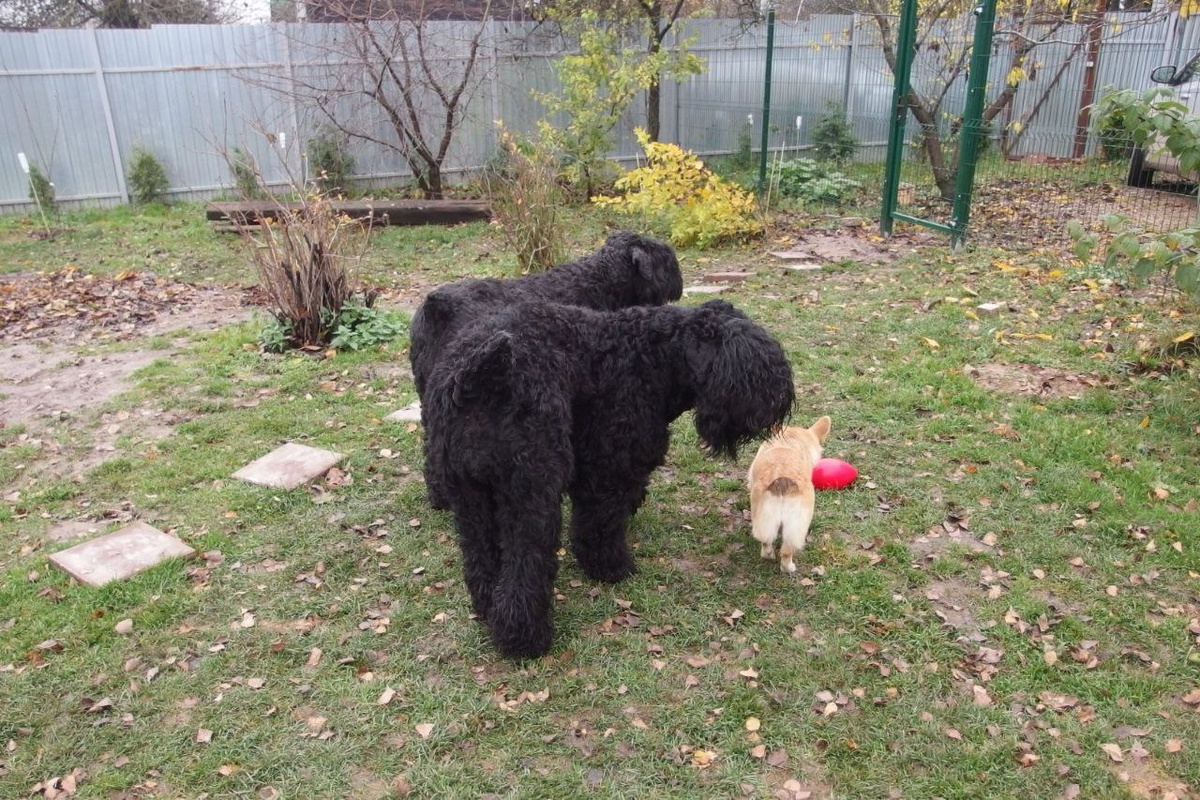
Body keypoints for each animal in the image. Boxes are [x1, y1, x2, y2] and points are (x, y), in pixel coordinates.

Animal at [422, 299, 795, 659]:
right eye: (746, 361)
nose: (781, 397)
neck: (654, 359)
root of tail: (480, 376)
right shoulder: (610, 468)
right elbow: (599, 524)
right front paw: (611, 567)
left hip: (470, 499)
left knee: (481, 558)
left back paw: (488, 608)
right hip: (529, 496)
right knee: (525, 565)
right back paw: (525, 638)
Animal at [747, 417, 831, 574]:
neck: (788, 440)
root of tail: (783, 479)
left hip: (764, 518)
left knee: (766, 543)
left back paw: (770, 556)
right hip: (798, 525)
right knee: (787, 551)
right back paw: (789, 567)